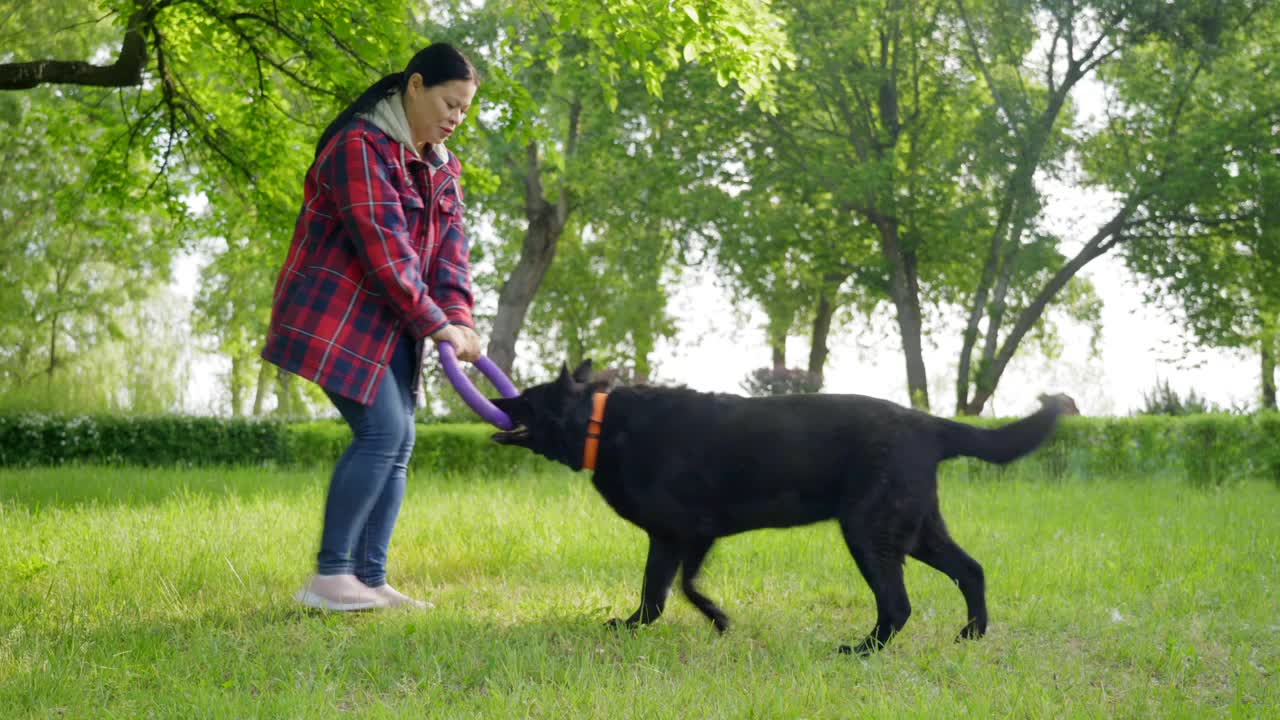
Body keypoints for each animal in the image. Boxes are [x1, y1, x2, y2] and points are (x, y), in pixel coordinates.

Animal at [494, 361, 1064, 653]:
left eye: (527, 397)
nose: (495, 402)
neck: (600, 423)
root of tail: (929, 422)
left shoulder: (686, 534)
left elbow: (678, 588)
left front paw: (716, 619)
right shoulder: (675, 538)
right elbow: (658, 594)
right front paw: (641, 626)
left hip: (870, 533)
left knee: (898, 604)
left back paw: (863, 650)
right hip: (916, 530)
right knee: (971, 570)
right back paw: (971, 634)